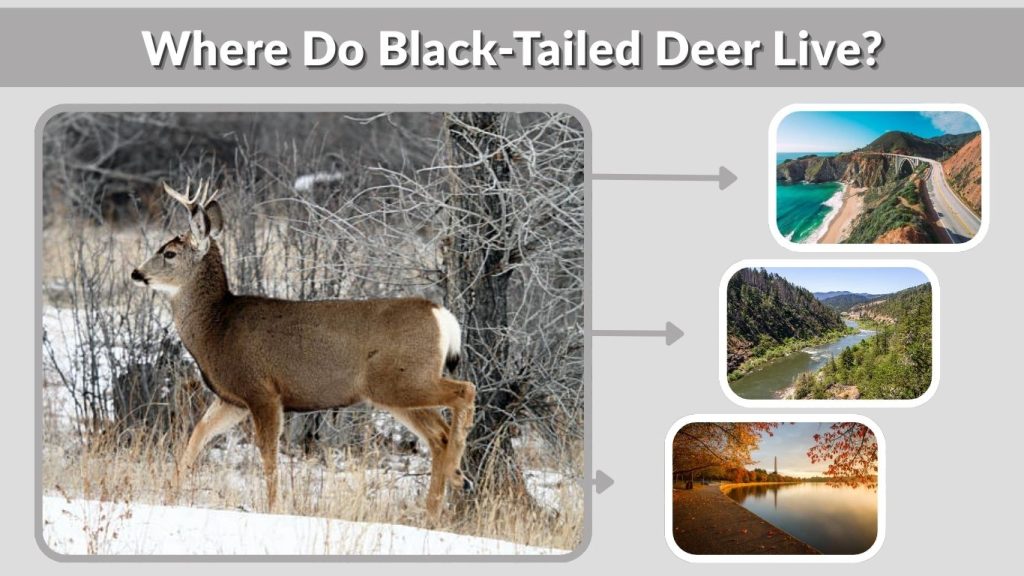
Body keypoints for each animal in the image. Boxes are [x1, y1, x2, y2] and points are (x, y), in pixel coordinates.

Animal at [130, 180, 476, 520]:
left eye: (170, 253)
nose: (136, 273)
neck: (215, 329)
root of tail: (442, 315)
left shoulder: (262, 390)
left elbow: (268, 455)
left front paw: (274, 508)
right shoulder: (232, 399)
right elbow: (197, 436)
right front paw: (168, 497)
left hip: (403, 379)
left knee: (465, 392)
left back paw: (456, 476)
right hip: (393, 390)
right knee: (438, 435)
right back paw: (442, 498)